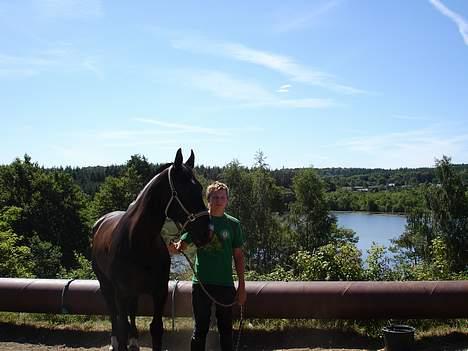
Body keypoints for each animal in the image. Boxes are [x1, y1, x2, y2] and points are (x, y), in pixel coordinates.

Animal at [92, 149, 212, 351]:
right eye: (186, 190)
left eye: (200, 188)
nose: (207, 232)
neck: (138, 242)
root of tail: (100, 222)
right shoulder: (121, 292)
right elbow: (122, 324)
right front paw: (120, 341)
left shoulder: (159, 291)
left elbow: (156, 328)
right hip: (106, 285)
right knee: (113, 314)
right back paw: (114, 341)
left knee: (132, 312)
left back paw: (134, 341)